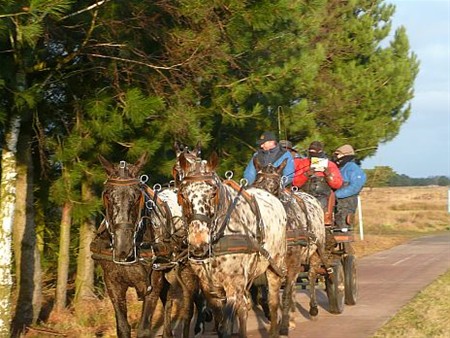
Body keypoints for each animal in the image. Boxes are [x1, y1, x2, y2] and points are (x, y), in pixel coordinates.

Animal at [92, 154, 207, 338]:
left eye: (137, 196)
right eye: (107, 195)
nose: (123, 248)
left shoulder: (152, 285)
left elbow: (144, 329)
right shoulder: (113, 284)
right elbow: (123, 328)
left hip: (187, 271)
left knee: (188, 308)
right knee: (169, 299)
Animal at [177, 152, 286, 338]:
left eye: (213, 192)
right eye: (183, 194)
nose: (199, 243)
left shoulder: (233, 286)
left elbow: (226, 325)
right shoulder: (209, 289)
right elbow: (221, 321)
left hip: (275, 266)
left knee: (273, 302)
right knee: (244, 308)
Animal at [251, 156, 328, 336]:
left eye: (274, 187)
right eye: (256, 183)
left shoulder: (293, 262)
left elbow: (285, 295)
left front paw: (284, 326)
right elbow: (271, 296)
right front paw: (279, 320)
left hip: (316, 251)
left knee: (311, 277)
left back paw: (312, 309)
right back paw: (292, 316)